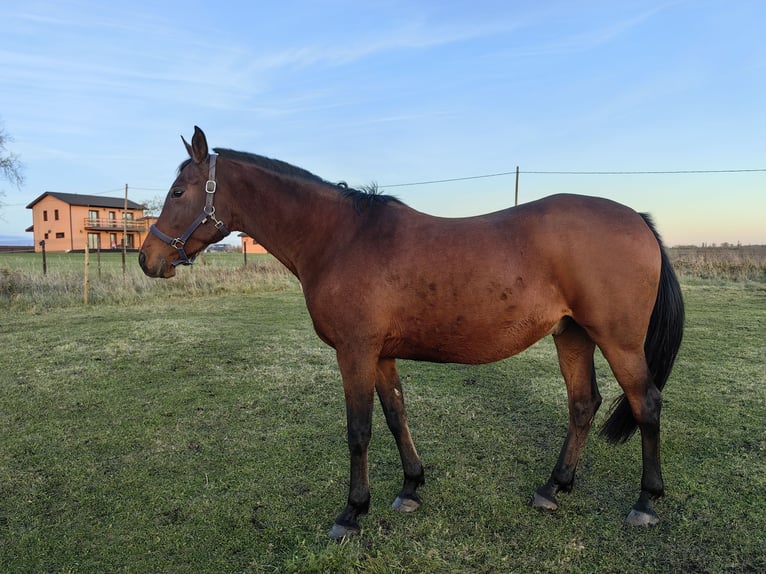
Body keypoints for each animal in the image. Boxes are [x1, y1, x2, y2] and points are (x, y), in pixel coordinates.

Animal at [141, 126, 688, 540]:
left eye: (178, 192)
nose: (149, 258)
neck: (340, 239)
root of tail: (638, 220)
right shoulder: (381, 354)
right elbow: (395, 415)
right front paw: (410, 488)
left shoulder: (355, 352)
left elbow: (359, 430)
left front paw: (351, 512)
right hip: (572, 334)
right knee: (582, 404)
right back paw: (552, 488)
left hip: (618, 341)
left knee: (646, 404)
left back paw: (645, 502)